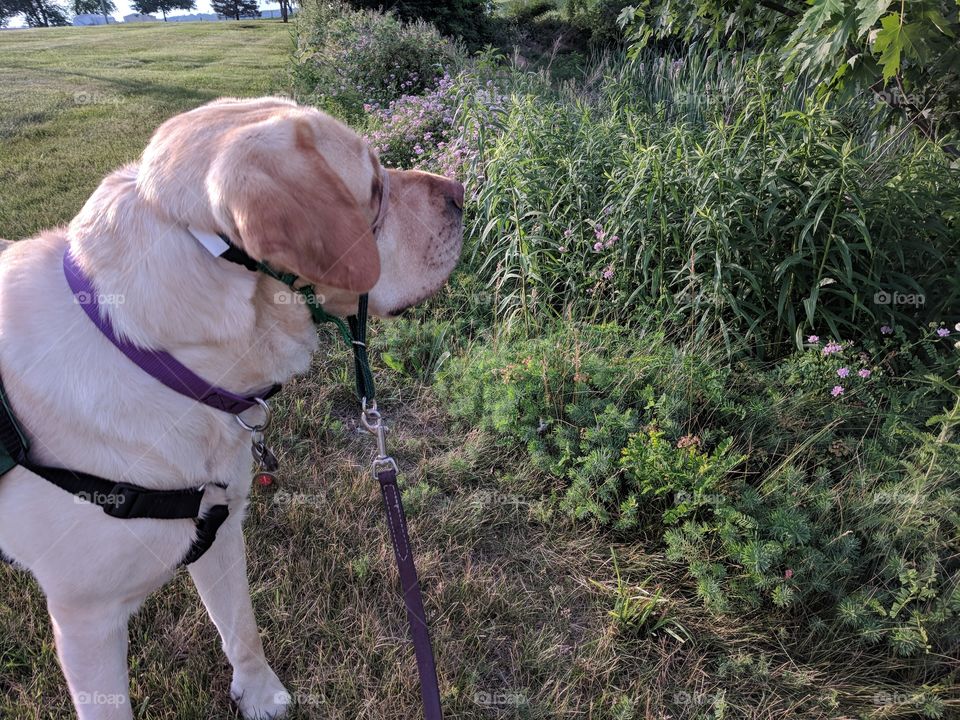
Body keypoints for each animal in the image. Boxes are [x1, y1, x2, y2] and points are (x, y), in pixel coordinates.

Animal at [0, 97, 464, 720]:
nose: (461, 190)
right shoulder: (85, 619)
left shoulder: (221, 527)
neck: (159, 361)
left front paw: (260, 693)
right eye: (372, 187)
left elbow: (241, 627)